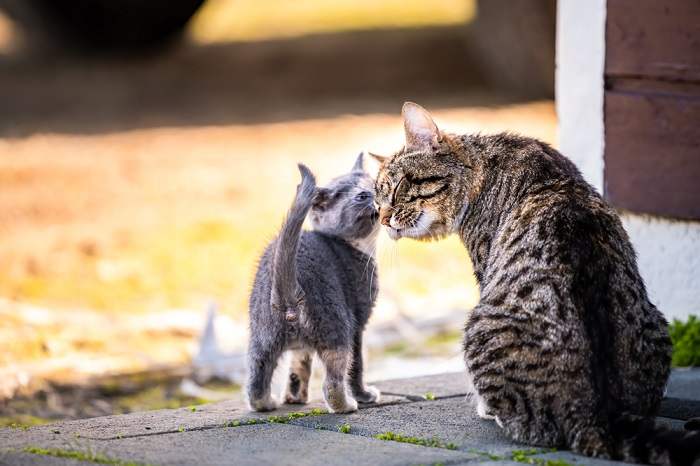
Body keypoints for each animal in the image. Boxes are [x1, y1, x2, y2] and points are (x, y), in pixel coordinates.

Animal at [245, 155, 380, 414]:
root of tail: (286, 295)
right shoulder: (358, 324)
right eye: (361, 196)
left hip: (262, 336)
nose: (373, 195)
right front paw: (364, 395)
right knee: (333, 381)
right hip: (337, 326)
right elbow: (357, 366)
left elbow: (298, 367)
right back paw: (346, 405)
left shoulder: (300, 349)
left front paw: (295, 397)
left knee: (256, 378)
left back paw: (267, 403)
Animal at [374, 103, 696, 466]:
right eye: (376, 201)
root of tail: (600, 414)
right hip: (658, 326)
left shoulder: (485, 267)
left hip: (478, 326)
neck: (483, 167)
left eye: (395, 189)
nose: (382, 219)